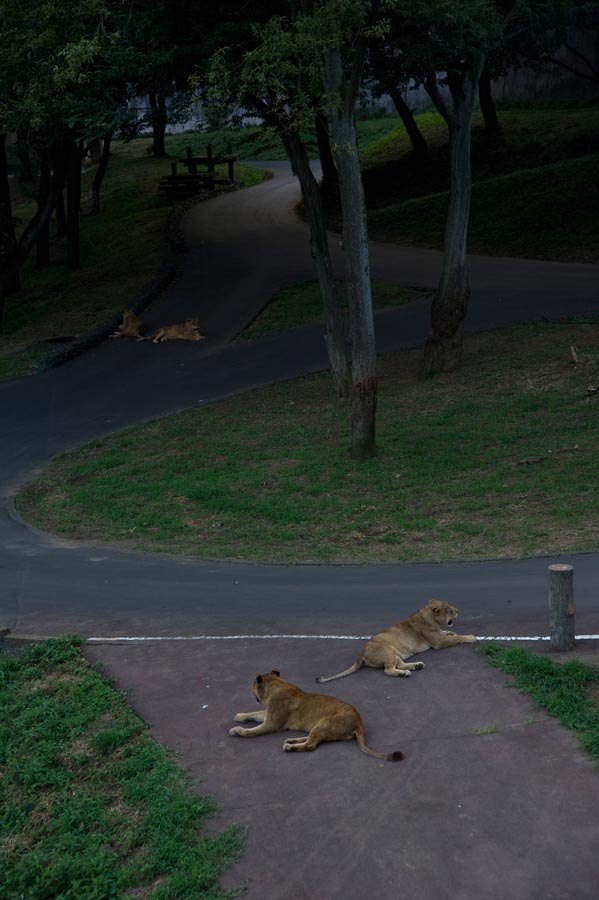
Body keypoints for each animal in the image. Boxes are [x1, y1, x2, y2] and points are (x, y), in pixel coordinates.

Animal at [229, 668, 404, 760]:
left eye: (252, 685)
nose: (249, 689)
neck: (277, 686)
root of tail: (359, 722)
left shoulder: (272, 723)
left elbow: (252, 731)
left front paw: (237, 730)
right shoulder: (268, 715)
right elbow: (254, 713)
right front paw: (239, 716)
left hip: (324, 724)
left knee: (311, 745)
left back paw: (290, 747)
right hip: (319, 726)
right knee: (310, 739)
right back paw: (291, 740)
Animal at [316, 596, 476, 684]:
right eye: (449, 609)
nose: (458, 611)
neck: (429, 617)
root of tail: (360, 654)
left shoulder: (438, 634)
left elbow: (448, 633)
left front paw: (451, 632)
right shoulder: (438, 642)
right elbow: (457, 638)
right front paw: (470, 637)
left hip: (395, 653)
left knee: (400, 664)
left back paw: (417, 666)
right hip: (388, 652)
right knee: (388, 670)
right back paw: (404, 674)